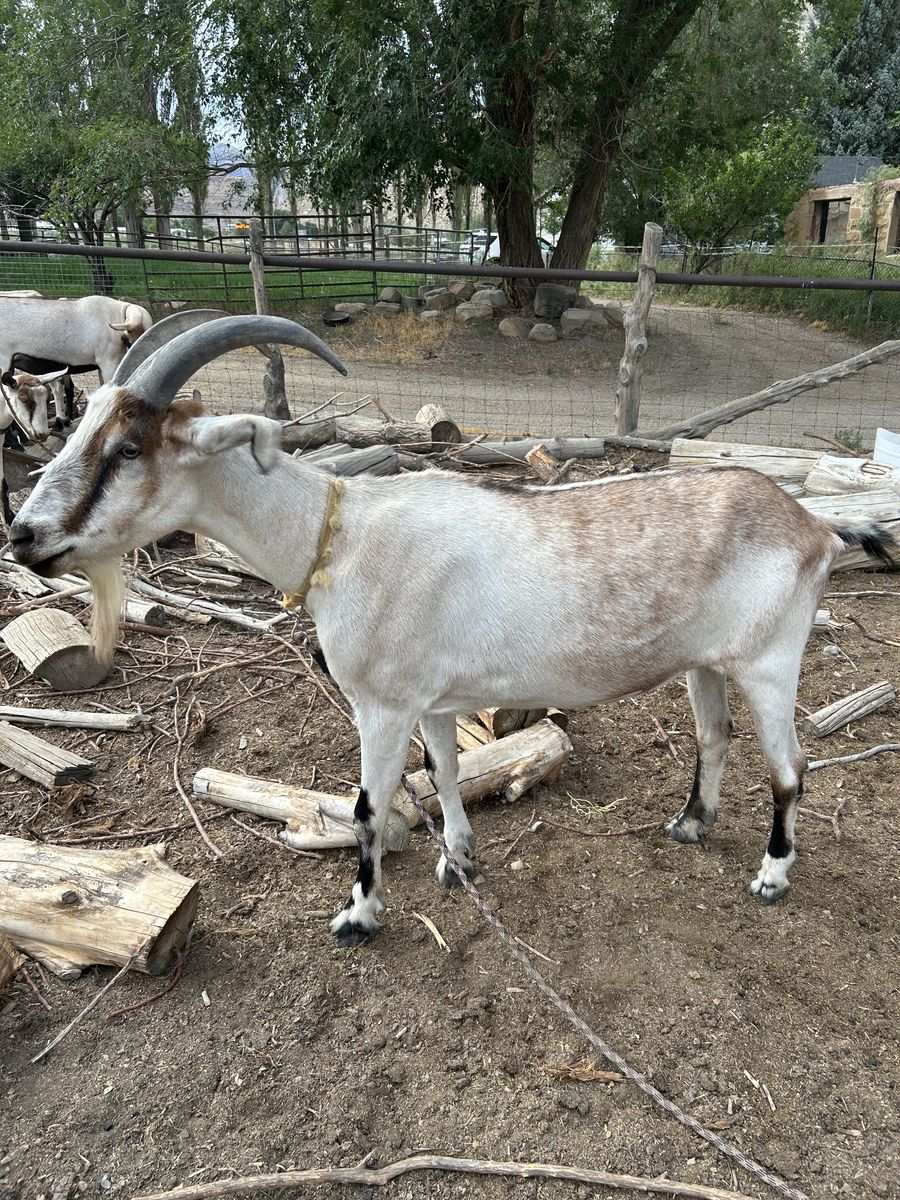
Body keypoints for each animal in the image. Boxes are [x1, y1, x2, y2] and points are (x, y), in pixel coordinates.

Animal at [8, 316, 896, 947]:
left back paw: (772, 875)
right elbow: (442, 772)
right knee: (715, 737)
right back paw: (689, 825)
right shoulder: (430, 700)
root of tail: (816, 528)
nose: (24, 534)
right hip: (706, 662)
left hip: (770, 661)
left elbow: (370, 806)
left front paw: (359, 917)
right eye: (81, 425)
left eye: (128, 447)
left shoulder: (381, 704)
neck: (340, 535)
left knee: (790, 765)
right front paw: (455, 860)